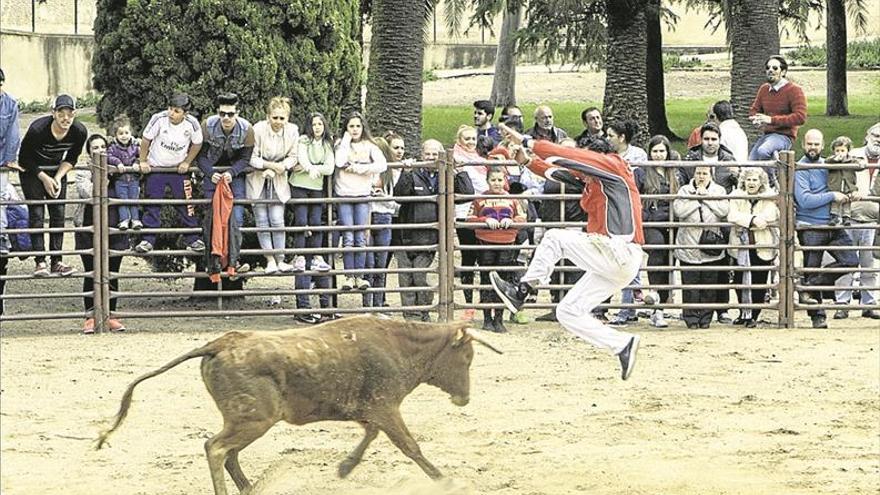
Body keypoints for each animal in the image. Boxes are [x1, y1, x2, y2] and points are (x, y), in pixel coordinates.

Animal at [96, 318, 502, 495]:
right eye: (467, 357)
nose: (464, 398)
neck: (397, 344)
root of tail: (220, 343)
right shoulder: (386, 406)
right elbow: (410, 446)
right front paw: (444, 479)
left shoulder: (372, 411)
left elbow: (370, 436)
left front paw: (344, 467)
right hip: (254, 419)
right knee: (216, 448)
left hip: (248, 420)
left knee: (228, 453)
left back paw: (252, 489)